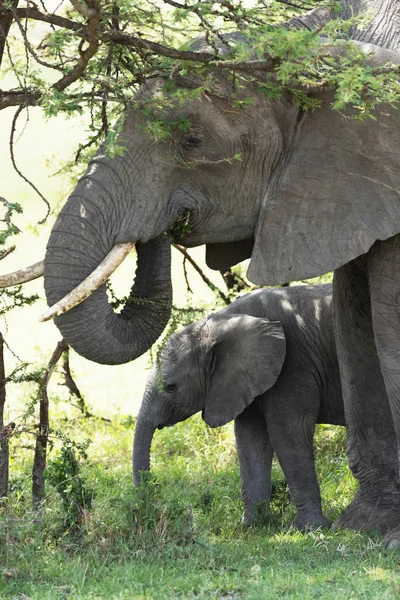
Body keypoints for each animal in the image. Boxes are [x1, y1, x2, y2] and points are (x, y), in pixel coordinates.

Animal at [132, 284, 344, 528]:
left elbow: (288, 433)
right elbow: (250, 438)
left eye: (171, 387)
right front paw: (253, 526)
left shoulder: (292, 364)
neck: (220, 322)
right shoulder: (246, 377)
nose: (153, 507)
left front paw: (310, 528)